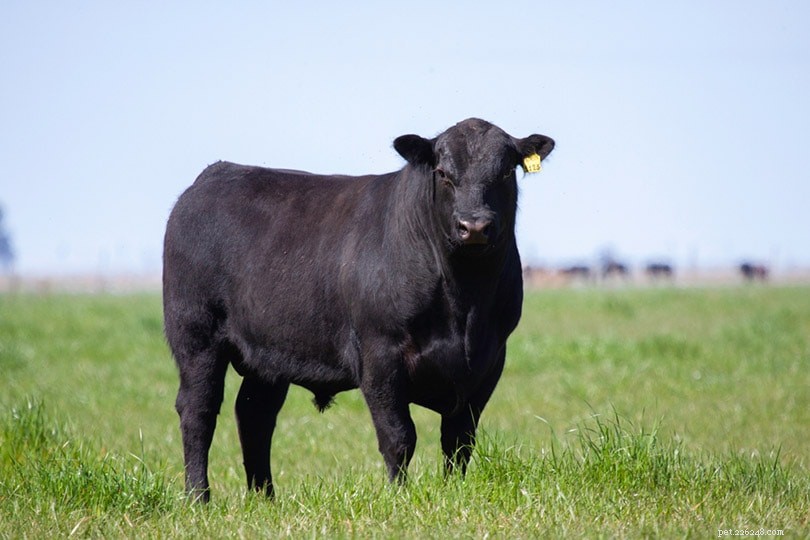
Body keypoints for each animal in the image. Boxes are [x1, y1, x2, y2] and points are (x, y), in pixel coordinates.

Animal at [162, 118, 555, 502]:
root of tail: (214, 174)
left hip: (268, 354)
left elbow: (459, 441)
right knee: (198, 410)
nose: (473, 227)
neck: (464, 303)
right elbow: (399, 436)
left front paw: (453, 494)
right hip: (196, 335)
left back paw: (265, 498)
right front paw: (399, 498)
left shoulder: (488, 361)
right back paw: (198, 497)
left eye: (505, 172)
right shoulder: (379, 354)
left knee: (255, 415)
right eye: (443, 172)